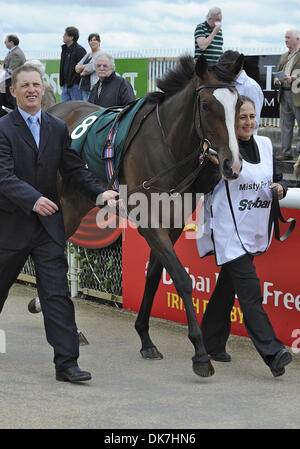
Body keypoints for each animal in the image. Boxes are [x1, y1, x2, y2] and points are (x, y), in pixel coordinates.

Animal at [29, 54, 244, 376]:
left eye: (239, 103)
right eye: (206, 105)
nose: (232, 164)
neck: (167, 146)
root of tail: (50, 110)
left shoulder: (172, 224)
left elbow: (154, 275)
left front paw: (145, 338)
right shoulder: (149, 222)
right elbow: (181, 278)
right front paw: (201, 354)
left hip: (76, 204)